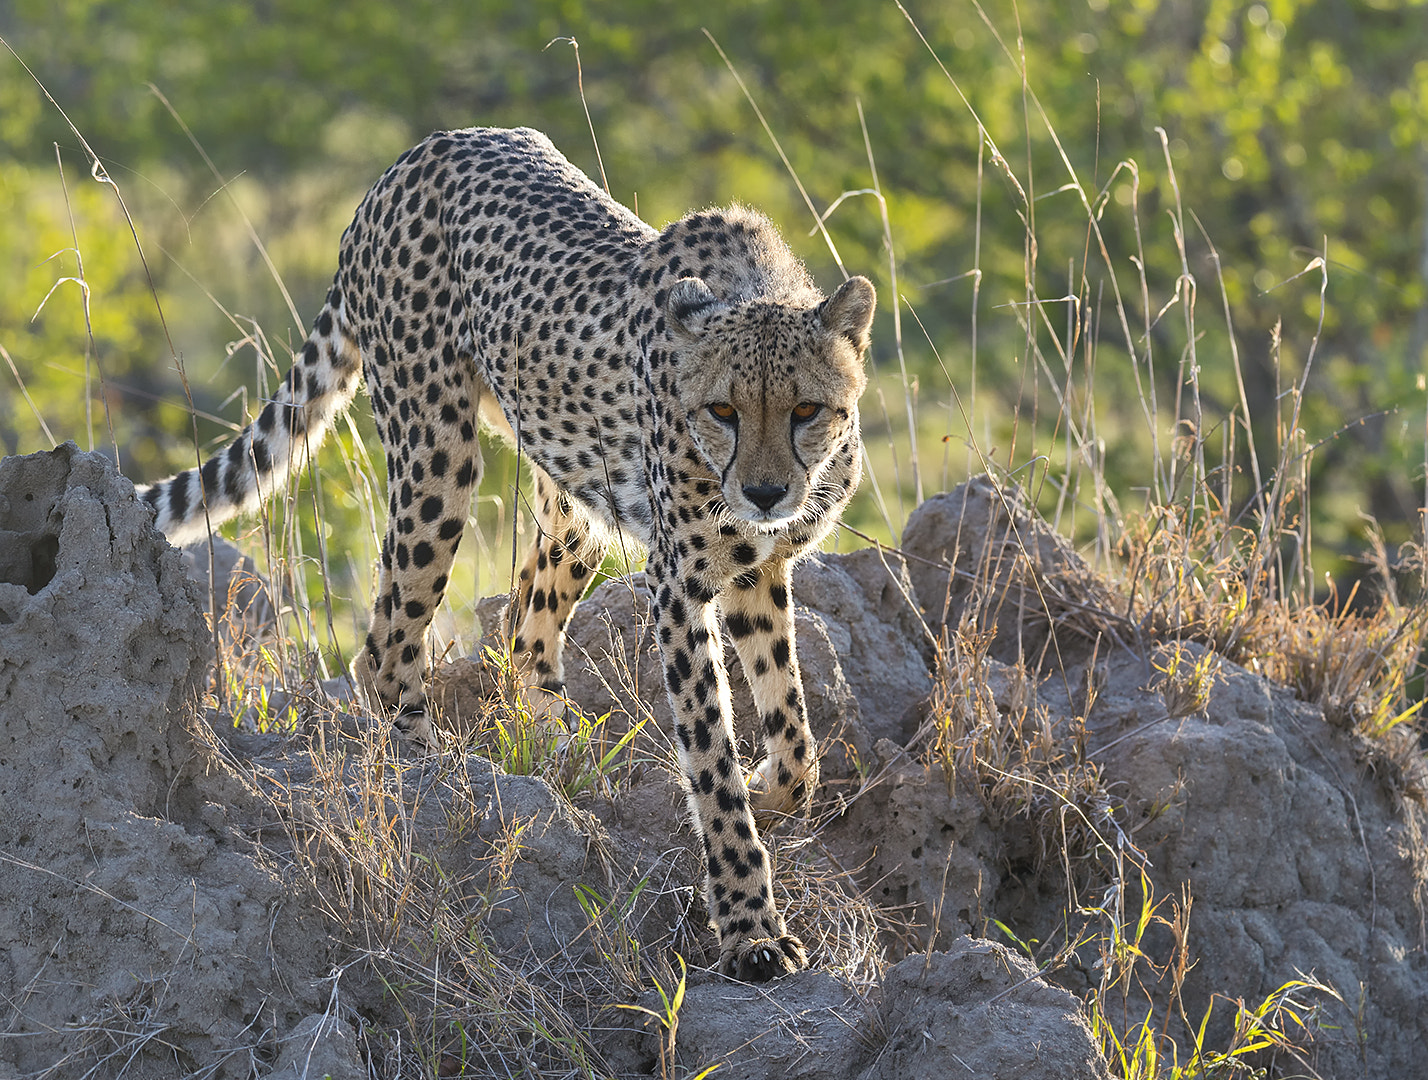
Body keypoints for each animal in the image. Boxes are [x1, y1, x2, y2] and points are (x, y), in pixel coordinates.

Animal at [137, 127, 875, 982]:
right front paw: (751, 927)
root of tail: (423, 150)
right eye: (722, 411)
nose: (761, 492)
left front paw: (767, 793)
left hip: (574, 502)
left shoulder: (760, 569)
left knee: (523, 627)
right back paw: (436, 783)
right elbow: (712, 761)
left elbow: (795, 736)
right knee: (386, 645)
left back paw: (553, 751)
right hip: (438, 453)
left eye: (806, 409)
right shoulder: (680, 583)